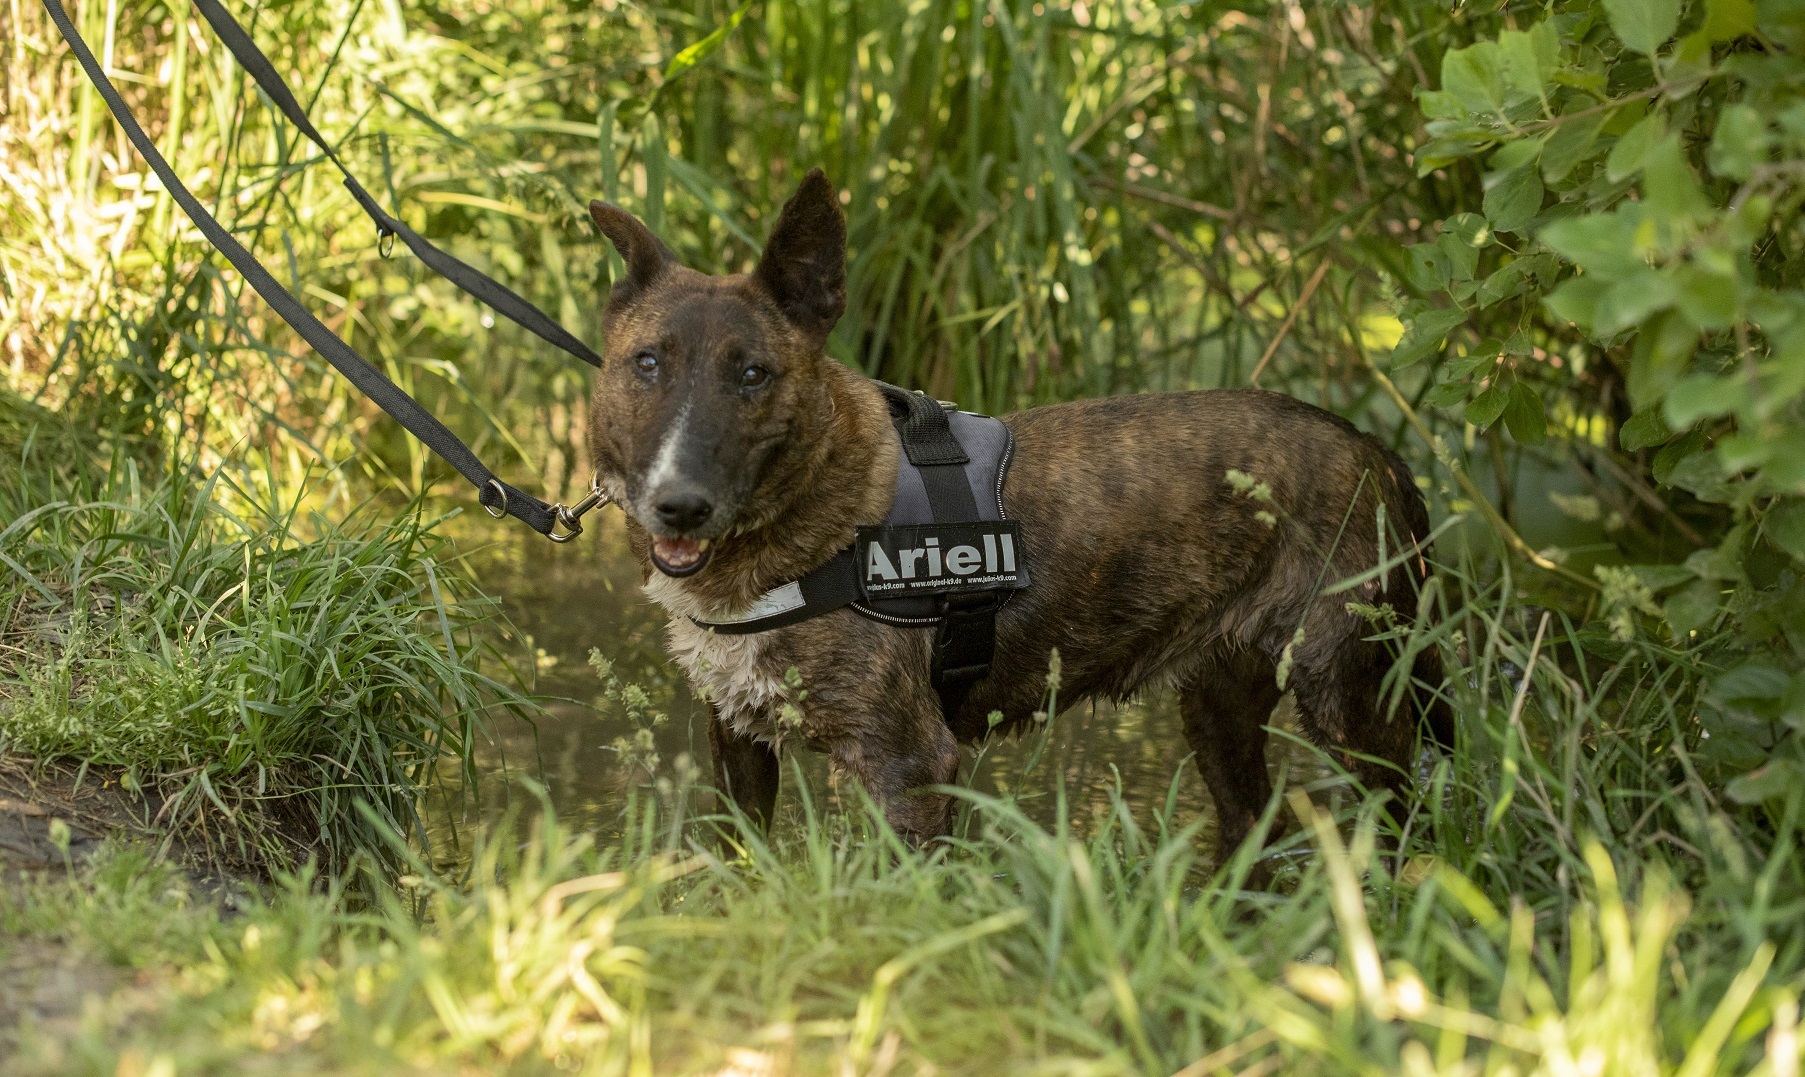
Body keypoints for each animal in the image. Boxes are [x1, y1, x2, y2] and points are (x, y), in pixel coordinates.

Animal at [588, 167, 1451, 851]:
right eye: (647, 363)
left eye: (753, 374)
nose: (678, 506)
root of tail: (1375, 450)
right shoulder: (736, 743)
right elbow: (732, 864)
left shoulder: (907, 764)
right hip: (1220, 706)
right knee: (1253, 828)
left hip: (1351, 704)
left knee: (1409, 825)